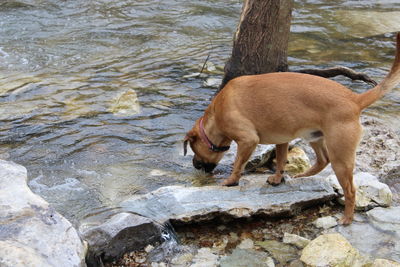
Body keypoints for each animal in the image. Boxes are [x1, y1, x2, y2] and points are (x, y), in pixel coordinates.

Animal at [184, 34, 400, 226]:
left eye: (193, 150)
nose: (194, 164)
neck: (217, 113)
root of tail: (355, 100)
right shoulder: (282, 141)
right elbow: (280, 161)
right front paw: (278, 178)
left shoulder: (248, 140)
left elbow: (238, 164)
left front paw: (230, 181)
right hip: (315, 138)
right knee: (322, 161)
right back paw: (301, 176)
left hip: (341, 157)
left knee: (350, 190)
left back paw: (347, 219)